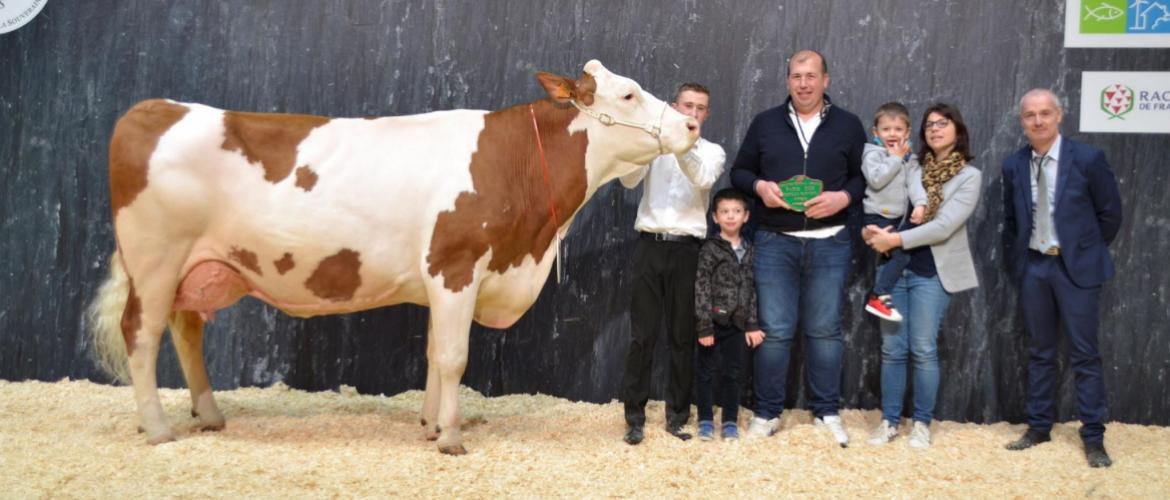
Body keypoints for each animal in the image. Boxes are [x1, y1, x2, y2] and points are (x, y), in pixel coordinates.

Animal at [91, 59, 697, 454]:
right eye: (628, 95)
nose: (691, 124)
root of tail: (155, 108)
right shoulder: (455, 267)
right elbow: (453, 357)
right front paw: (450, 438)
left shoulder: (439, 279)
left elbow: (432, 354)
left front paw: (428, 424)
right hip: (155, 260)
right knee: (141, 334)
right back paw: (159, 429)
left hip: (198, 267)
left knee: (186, 330)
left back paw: (210, 415)